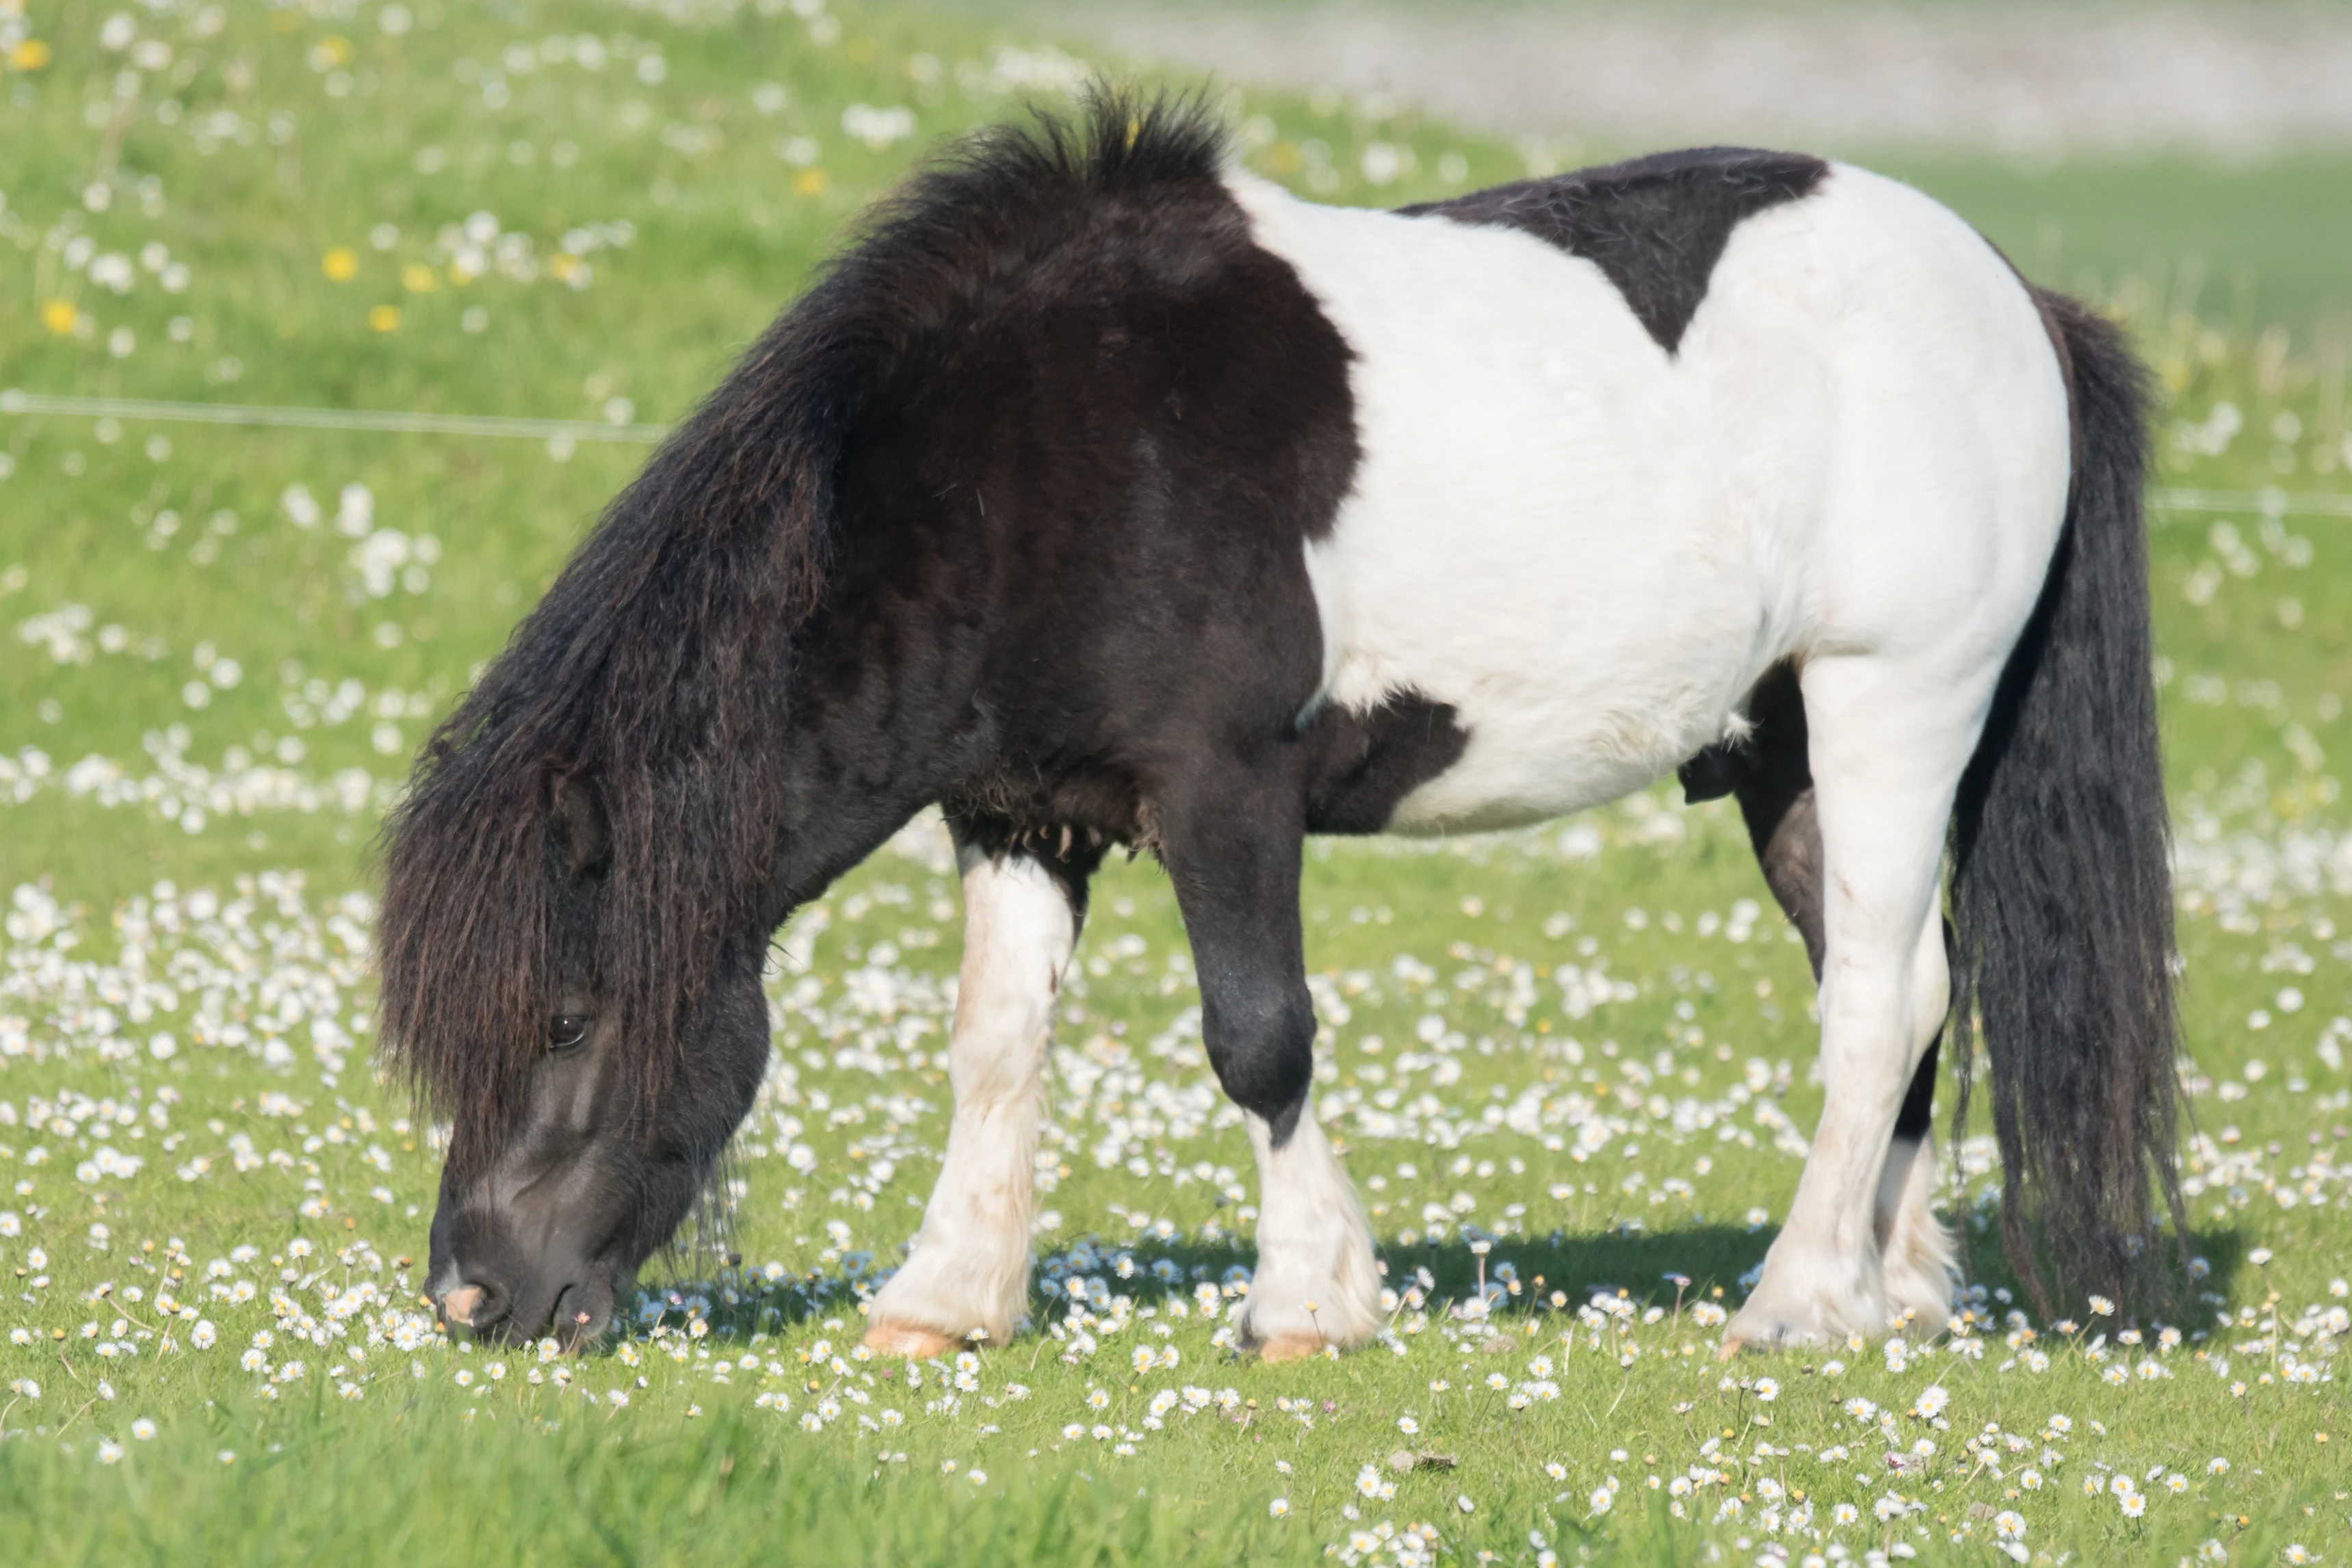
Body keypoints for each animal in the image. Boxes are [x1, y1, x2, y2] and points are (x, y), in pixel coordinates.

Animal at [378, 91, 2184, 1359]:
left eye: (564, 1015)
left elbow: (1259, 1035)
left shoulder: (1222, 792)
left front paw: (1308, 1300)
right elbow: (995, 1043)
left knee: (1883, 1002)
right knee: (1901, 996)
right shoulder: (1020, 812)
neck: (1047, 458)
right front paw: (948, 1296)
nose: (476, 1298)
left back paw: (1802, 1303)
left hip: (1894, 707)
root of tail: (2021, 304)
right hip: (1786, 755)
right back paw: (1899, 1289)